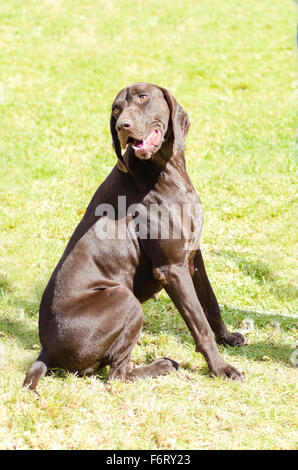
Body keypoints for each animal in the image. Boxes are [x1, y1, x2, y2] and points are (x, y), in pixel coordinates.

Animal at [23, 82, 246, 392]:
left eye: (143, 98)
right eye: (116, 110)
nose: (122, 126)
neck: (164, 171)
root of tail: (46, 349)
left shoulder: (192, 256)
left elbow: (211, 304)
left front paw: (227, 338)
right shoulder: (172, 269)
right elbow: (199, 325)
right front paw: (220, 368)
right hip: (124, 299)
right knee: (118, 373)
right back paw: (162, 366)